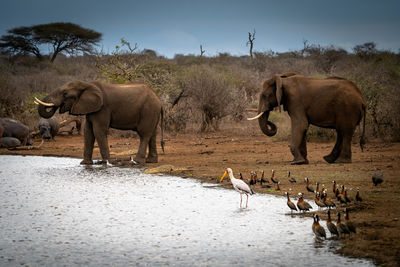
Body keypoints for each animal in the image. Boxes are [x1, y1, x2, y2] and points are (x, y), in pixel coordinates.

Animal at [35, 80, 164, 165]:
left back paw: (137, 161)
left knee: (144, 134)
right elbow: (88, 132)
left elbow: (98, 131)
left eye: (65, 93)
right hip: (153, 112)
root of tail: (159, 99)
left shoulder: (102, 108)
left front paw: (108, 163)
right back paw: (151, 161)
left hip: (148, 110)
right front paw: (85, 164)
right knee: (152, 134)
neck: (87, 84)